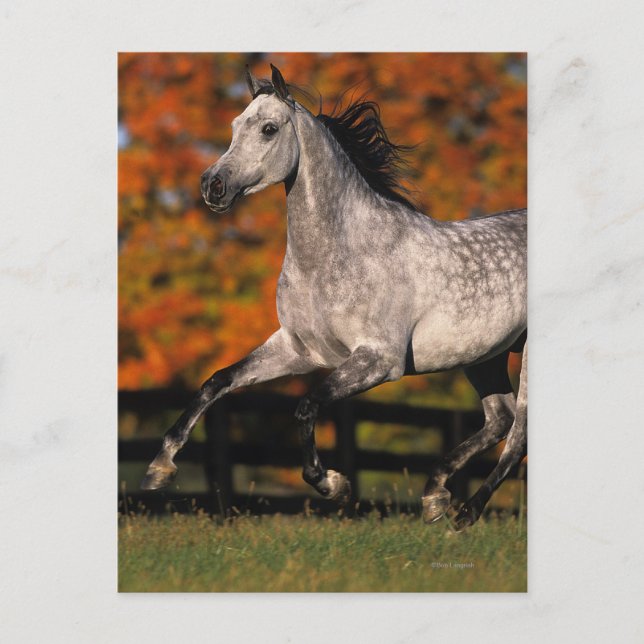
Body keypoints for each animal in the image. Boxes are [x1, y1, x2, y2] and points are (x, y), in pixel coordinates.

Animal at [141, 63, 527, 530]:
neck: (336, 254)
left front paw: (333, 484)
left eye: (269, 129)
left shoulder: (379, 360)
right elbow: (217, 381)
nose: (212, 186)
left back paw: (466, 512)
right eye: (234, 126)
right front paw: (159, 468)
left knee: (518, 435)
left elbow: (307, 406)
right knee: (500, 419)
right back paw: (435, 495)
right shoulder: (297, 349)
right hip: (483, 356)